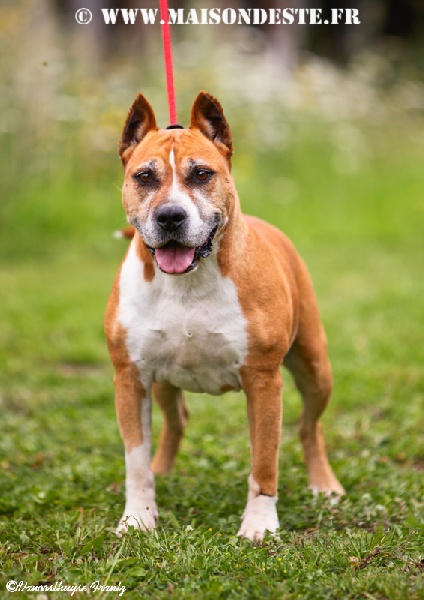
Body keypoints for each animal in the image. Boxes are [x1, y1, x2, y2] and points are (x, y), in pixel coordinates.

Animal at [104, 92, 344, 541]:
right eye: (144, 177)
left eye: (202, 174)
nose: (170, 216)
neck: (187, 281)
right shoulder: (130, 378)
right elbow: (135, 459)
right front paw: (138, 517)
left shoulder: (263, 381)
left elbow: (265, 460)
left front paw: (260, 525)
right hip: (161, 384)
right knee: (176, 420)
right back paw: (164, 472)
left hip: (315, 368)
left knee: (309, 427)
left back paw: (325, 486)